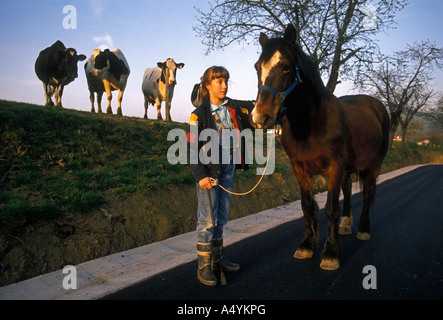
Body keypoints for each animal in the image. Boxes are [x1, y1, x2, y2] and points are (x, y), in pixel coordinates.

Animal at [251, 24, 390, 270]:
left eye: (286, 66)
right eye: (258, 67)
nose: (260, 117)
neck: (312, 124)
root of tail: (376, 105)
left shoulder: (334, 167)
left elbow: (331, 208)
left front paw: (331, 253)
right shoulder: (300, 169)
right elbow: (308, 205)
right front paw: (306, 245)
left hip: (374, 165)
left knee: (367, 193)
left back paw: (363, 229)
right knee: (348, 190)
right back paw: (346, 225)